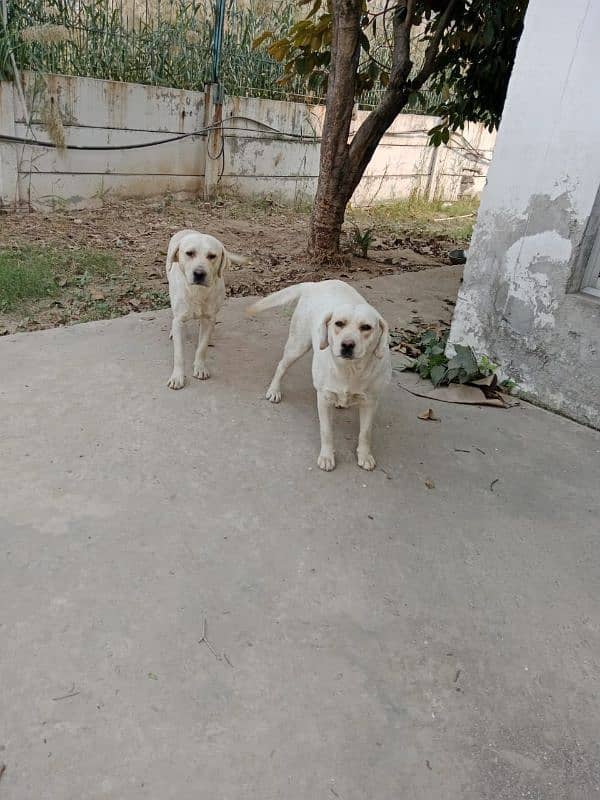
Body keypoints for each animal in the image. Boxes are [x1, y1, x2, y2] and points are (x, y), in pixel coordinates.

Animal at [165, 228, 245, 390]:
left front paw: (200, 367)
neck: (197, 292)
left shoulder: (209, 319)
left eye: (212, 256)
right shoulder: (179, 320)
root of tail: (187, 229)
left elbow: (202, 348)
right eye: (189, 253)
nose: (199, 274)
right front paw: (177, 377)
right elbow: (179, 354)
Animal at [247, 280, 392, 472]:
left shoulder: (371, 402)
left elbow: (365, 432)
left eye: (366, 327)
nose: (347, 345)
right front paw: (327, 456)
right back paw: (274, 390)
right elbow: (326, 431)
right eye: (339, 323)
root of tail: (314, 283)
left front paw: (365, 455)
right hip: (298, 345)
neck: (349, 369)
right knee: (281, 366)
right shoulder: (323, 399)